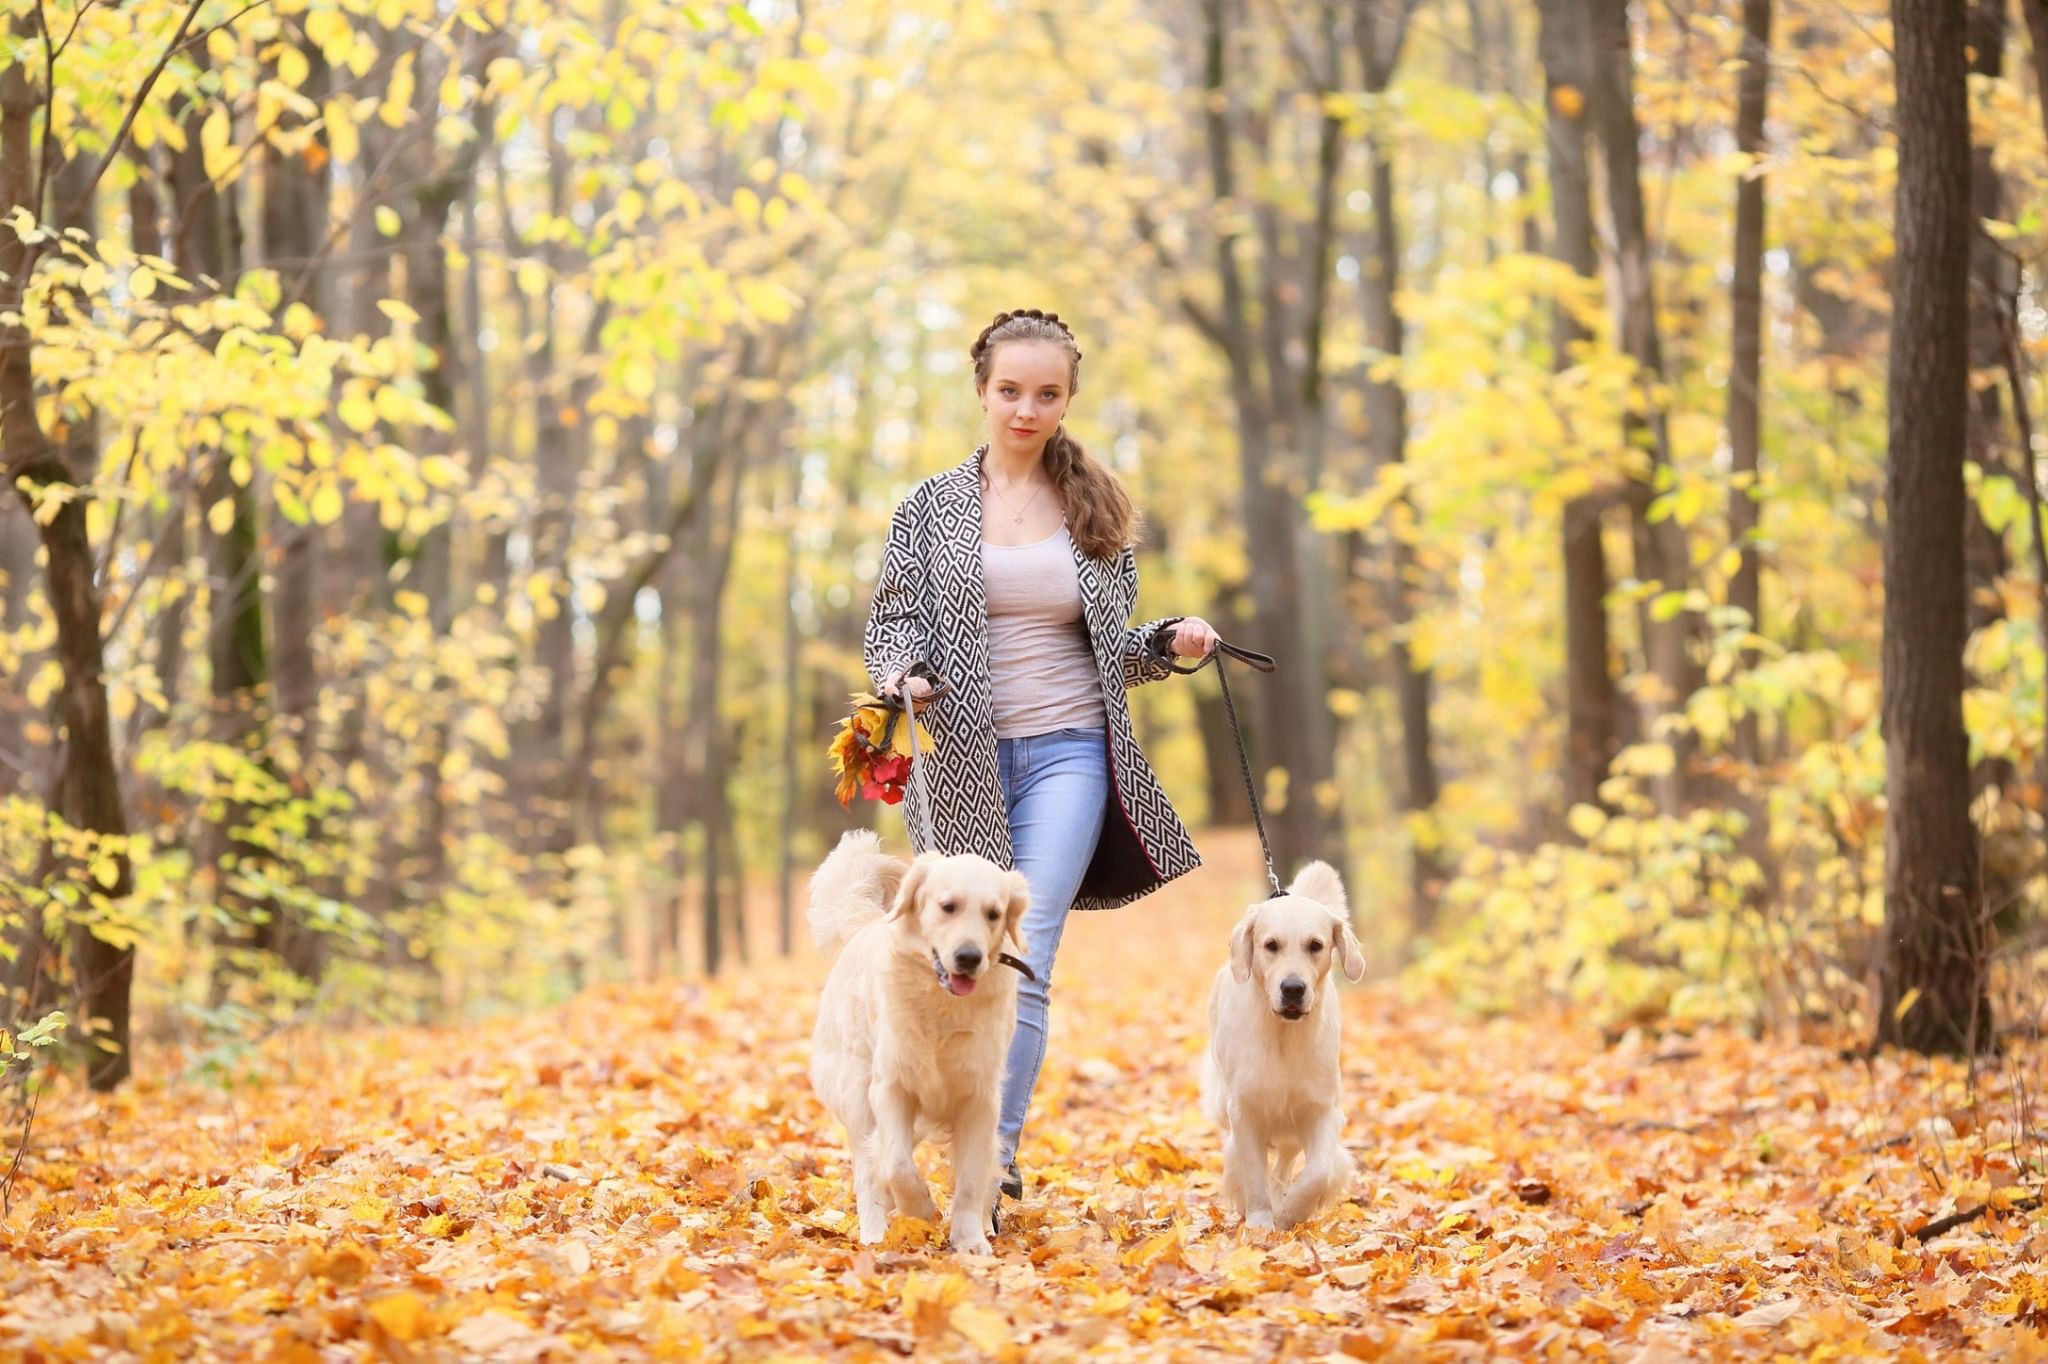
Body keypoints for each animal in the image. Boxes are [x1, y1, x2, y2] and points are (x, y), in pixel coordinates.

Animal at [798, 823, 1024, 1245]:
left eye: (994, 914)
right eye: (948, 906)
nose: (968, 957)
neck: (942, 1007)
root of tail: (865, 924)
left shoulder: (980, 1097)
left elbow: (972, 1177)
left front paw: (970, 1241)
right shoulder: (890, 1087)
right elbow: (897, 1165)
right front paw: (918, 1209)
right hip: (857, 1090)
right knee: (869, 1169)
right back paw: (875, 1232)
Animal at [1196, 860, 1359, 1228]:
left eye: (1315, 945)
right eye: (1271, 945)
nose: (1293, 988)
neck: (1283, 1035)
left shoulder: (1322, 1108)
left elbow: (1318, 1172)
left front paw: (1289, 1212)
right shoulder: (1244, 1108)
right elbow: (1253, 1172)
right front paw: (1260, 1221)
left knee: (1285, 1161)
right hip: (1221, 1101)